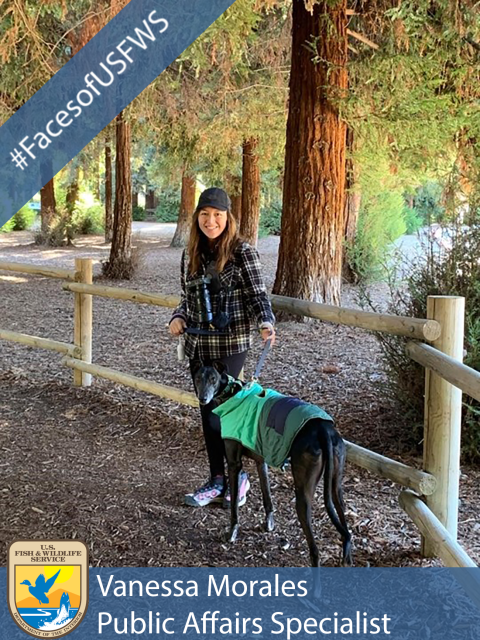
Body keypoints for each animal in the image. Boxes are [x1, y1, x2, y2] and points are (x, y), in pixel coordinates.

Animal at [191, 360, 352, 568]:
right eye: (198, 378)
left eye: (213, 379)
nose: (203, 398)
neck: (232, 393)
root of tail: (323, 428)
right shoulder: (261, 461)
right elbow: (267, 495)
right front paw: (268, 524)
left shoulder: (234, 464)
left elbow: (234, 505)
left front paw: (232, 532)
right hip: (336, 486)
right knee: (346, 529)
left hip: (303, 494)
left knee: (315, 551)